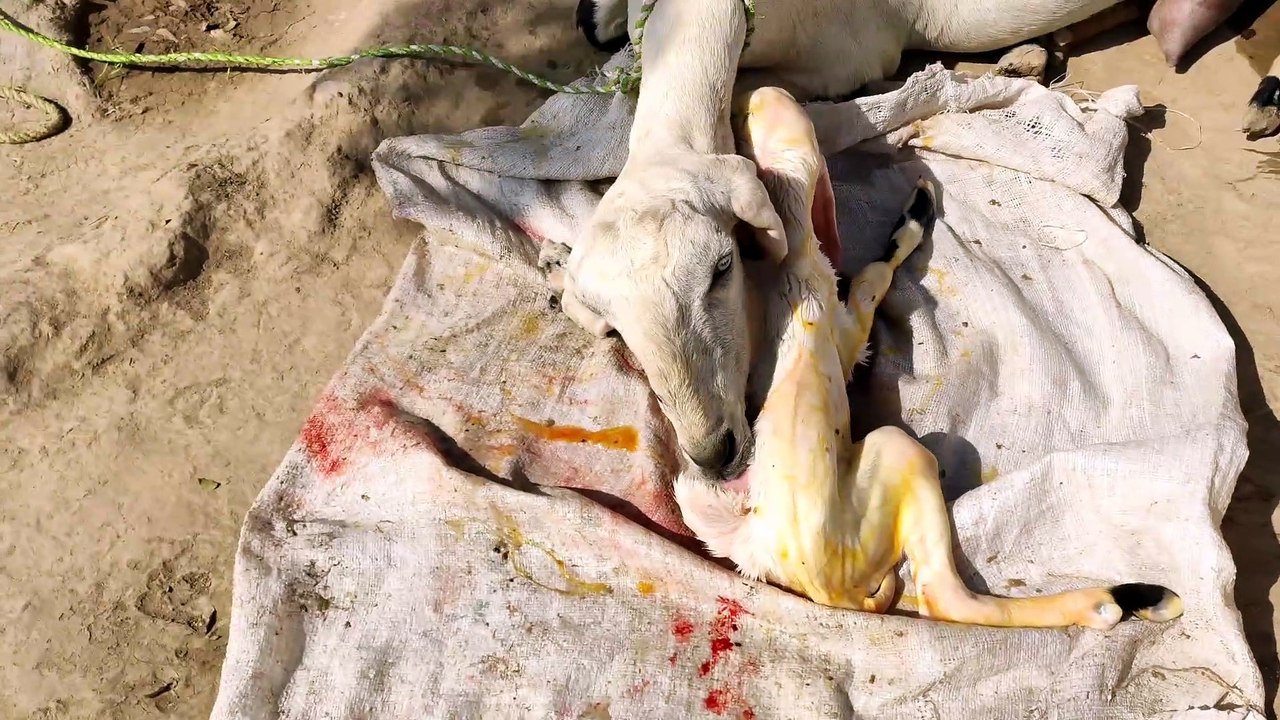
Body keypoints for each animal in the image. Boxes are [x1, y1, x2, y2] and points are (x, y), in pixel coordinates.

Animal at [673, 86, 1184, 629]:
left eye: (746, 122)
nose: (755, 93)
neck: (787, 263)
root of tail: (824, 590)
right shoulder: (844, 326)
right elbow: (873, 277)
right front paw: (913, 217)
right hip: (896, 456)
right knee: (943, 593)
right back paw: (1125, 600)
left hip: (705, 501)